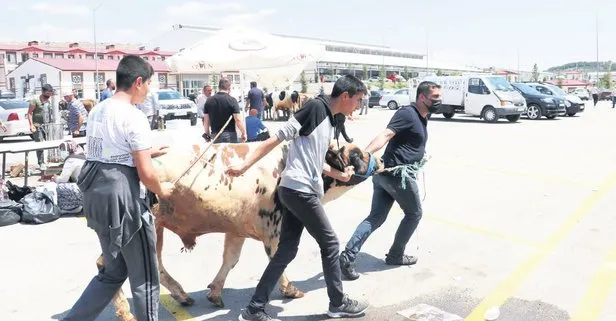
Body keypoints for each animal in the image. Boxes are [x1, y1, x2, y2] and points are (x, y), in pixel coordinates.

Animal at [106, 139, 384, 318]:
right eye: (357, 154)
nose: (381, 160)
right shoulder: (274, 229)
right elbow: (278, 260)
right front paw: (290, 290)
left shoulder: (236, 229)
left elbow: (230, 260)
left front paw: (215, 293)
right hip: (145, 229)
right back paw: (132, 311)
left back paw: (178, 297)